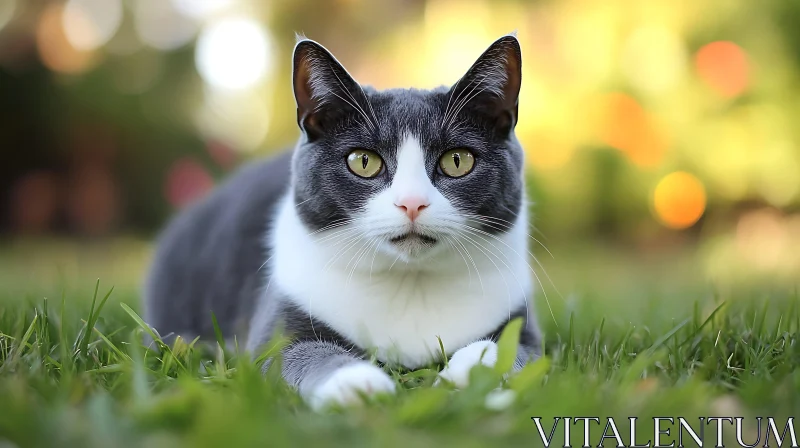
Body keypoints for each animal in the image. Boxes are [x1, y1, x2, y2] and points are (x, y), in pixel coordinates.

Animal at [144, 34, 544, 410]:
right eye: (363, 161)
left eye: (457, 160)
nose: (412, 203)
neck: (411, 282)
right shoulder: (276, 328)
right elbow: (298, 354)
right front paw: (357, 383)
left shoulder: (523, 325)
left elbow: (516, 350)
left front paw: (471, 372)